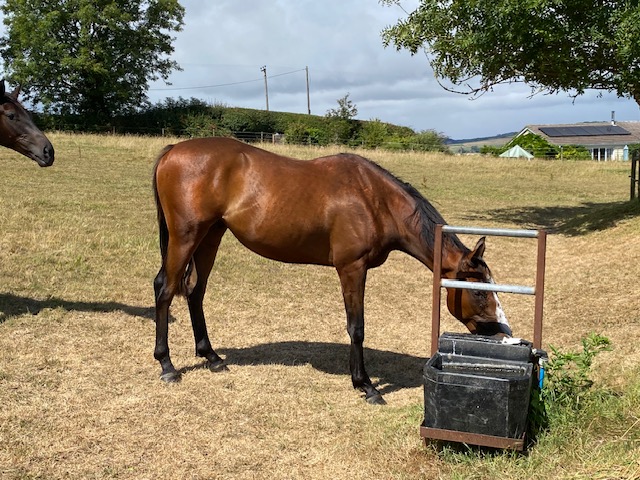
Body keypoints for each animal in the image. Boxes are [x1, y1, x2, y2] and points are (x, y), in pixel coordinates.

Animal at [152, 137, 511, 404]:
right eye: (481, 293)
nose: (500, 333)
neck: (374, 199)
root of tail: (174, 150)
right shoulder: (352, 268)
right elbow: (357, 327)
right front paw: (365, 385)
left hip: (210, 235)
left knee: (195, 291)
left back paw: (211, 357)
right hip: (186, 237)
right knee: (165, 289)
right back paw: (167, 365)